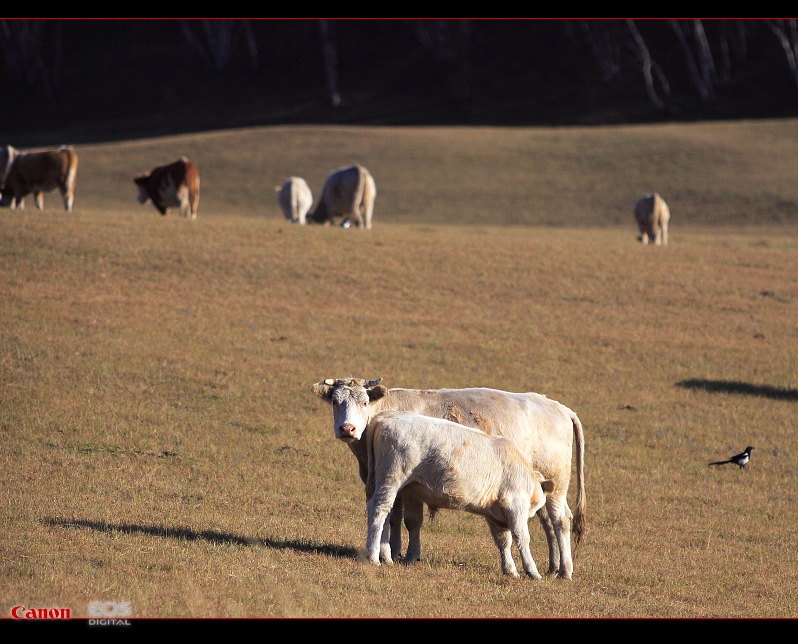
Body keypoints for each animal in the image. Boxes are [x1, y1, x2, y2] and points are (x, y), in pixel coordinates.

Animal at [366, 410, 552, 580]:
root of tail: (387, 417)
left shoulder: (495, 514)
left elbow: (503, 541)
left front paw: (510, 570)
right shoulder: (515, 504)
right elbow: (522, 537)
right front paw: (532, 571)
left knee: (383, 513)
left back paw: (385, 556)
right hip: (392, 477)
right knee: (379, 510)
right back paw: (373, 556)